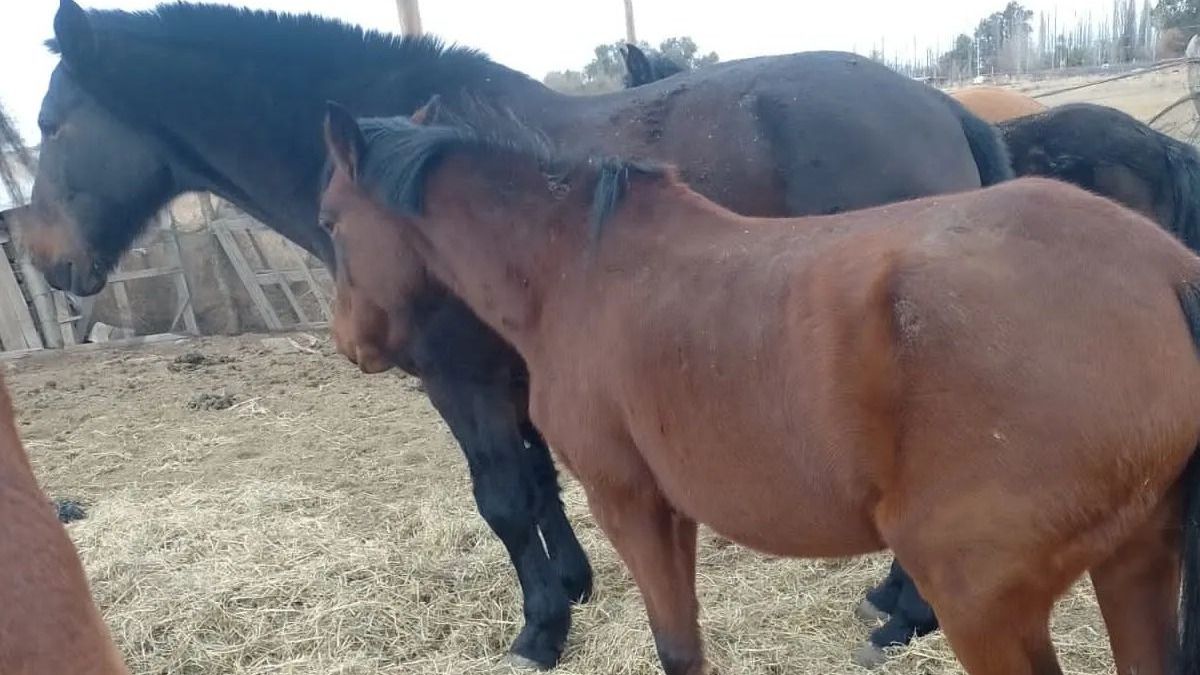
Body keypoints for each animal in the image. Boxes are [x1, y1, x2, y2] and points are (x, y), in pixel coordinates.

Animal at [20, 1, 1009, 667]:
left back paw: (905, 613)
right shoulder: (517, 373)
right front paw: (570, 584)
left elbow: (500, 497)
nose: (40, 256)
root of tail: (946, 111)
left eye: (50, 125)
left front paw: (539, 629)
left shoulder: (458, 377)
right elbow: (538, 483)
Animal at [320, 100, 1200, 675]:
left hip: (982, 602)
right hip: (1133, 564)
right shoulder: (670, 510)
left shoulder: (628, 501)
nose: (352, 344)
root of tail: (1162, 272)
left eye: (329, 221)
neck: (581, 268)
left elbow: (677, 647)